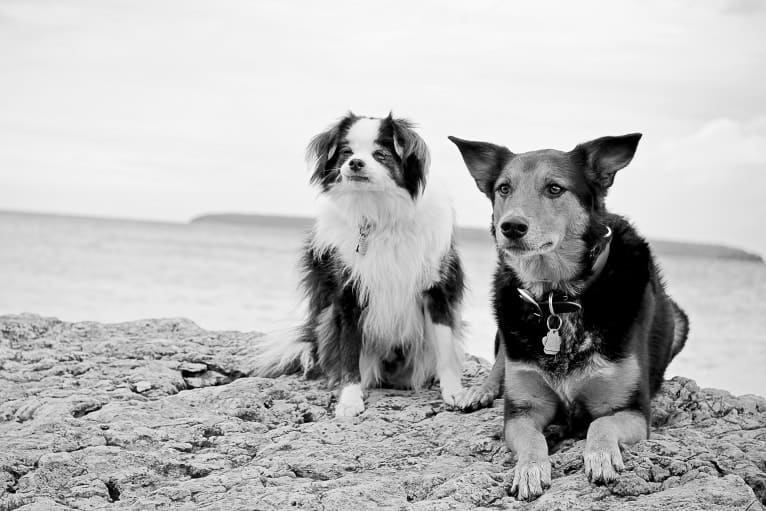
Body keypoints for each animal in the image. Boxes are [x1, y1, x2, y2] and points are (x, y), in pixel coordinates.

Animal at [252, 112, 468, 416]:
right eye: (346, 152)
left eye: (381, 154)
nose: (355, 163)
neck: (378, 214)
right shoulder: (348, 292)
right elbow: (350, 352)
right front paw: (350, 399)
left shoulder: (436, 287)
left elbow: (446, 345)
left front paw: (454, 392)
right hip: (326, 321)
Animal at [450, 132, 688, 500]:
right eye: (504, 188)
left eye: (554, 188)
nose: (511, 227)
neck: (557, 298)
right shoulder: (523, 411)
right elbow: (532, 439)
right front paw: (531, 469)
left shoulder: (631, 410)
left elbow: (601, 425)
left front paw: (601, 456)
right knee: (502, 357)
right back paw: (481, 390)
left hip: (679, 321)